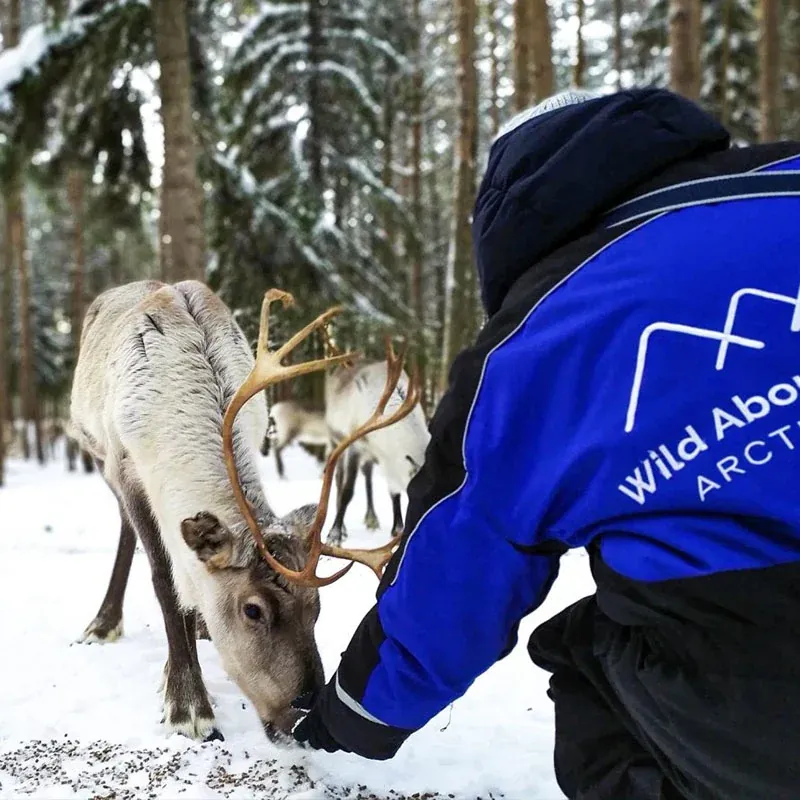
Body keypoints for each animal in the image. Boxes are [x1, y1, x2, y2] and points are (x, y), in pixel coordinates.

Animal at [70, 280, 418, 743]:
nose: (302, 714)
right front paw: (188, 705)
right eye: (253, 610)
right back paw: (104, 623)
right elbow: (165, 581)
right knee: (128, 533)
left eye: (317, 607)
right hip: (95, 451)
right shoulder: (124, 467)